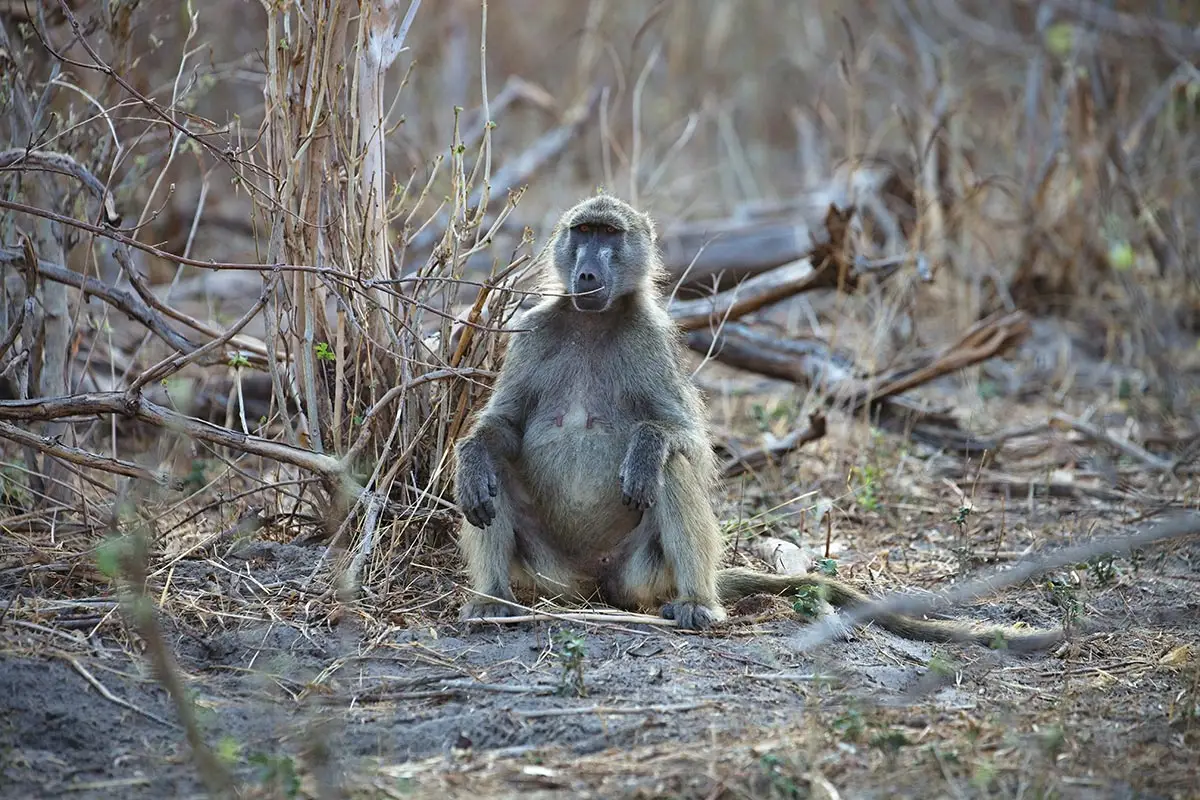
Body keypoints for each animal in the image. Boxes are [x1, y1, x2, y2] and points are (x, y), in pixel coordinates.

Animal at [452, 193, 1066, 652]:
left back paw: (698, 603)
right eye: (582, 232)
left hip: (640, 574)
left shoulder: (652, 339)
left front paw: (647, 448)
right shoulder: (532, 330)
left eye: (609, 236)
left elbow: (686, 441)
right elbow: (502, 428)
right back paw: (492, 600)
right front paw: (472, 457)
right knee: (496, 480)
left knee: (670, 470)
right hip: (551, 576)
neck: (592, 322)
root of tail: (590, 585)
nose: (585, 273)